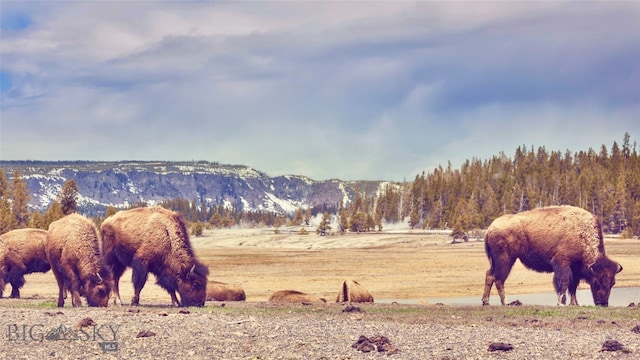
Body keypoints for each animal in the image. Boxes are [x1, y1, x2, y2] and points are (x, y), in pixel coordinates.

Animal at [482, 205, 624, 306]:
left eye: (613, 282)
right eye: (595, 280)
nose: (603, 303)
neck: (581, 234)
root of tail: (490, 229)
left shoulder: (575, 269)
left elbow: (573, 287)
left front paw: (574, 304)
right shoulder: (562, 263)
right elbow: (564, 282)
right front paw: (561, 302)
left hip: (496, 261)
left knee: (490, 275)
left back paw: (486, 301)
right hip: (505, 260)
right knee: (499, 279)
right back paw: (505, 302)